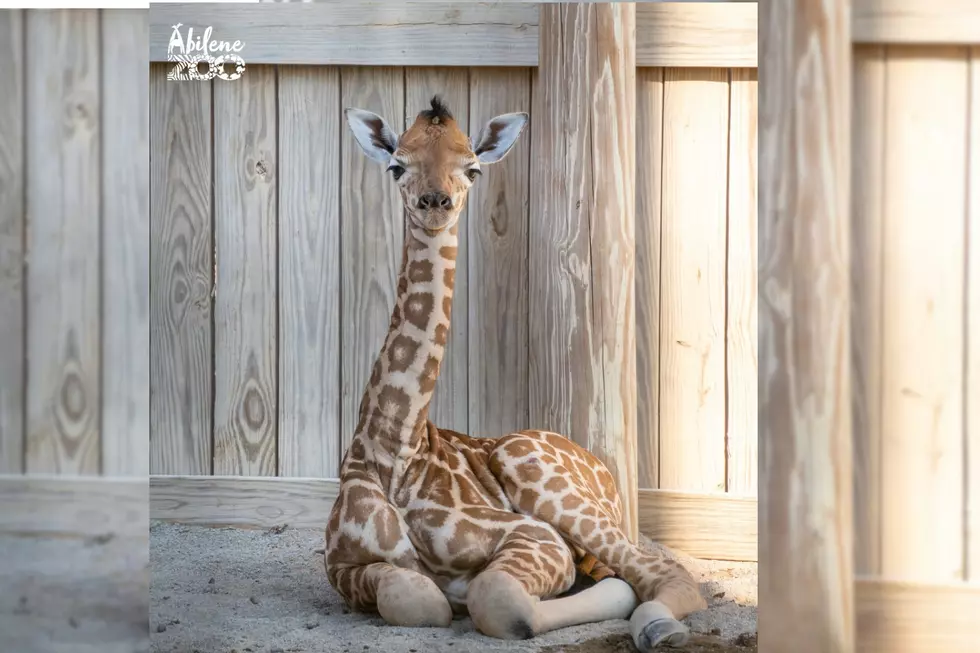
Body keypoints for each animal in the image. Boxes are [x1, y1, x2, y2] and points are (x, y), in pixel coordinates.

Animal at [324, 96, 707, 651]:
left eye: (473, 169)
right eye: (397, 164)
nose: (435, 202)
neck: (395, 453)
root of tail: (607, 476)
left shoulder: (538, 537)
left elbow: (498, 601)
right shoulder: (339, 565)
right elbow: (415, 595)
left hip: (534, 471)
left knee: (664, 572)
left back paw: (658, 626)